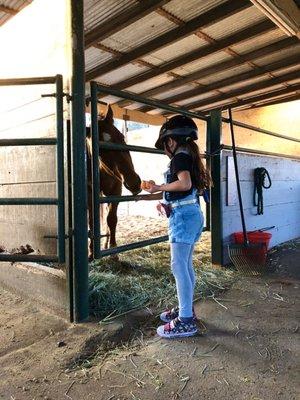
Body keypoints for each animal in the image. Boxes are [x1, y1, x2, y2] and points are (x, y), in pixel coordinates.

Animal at [86, 104, 141, 260]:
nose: (134, 183)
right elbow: (92, 221)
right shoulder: (90, 193)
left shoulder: (116, 190)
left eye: (122, 138)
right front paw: (91, 251)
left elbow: (111, 219)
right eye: (101, 149)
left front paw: (113, 250)